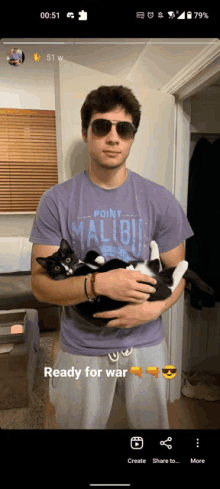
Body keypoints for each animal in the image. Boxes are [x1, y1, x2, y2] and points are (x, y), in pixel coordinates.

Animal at [36, 238, 213, 326]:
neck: (80, 267)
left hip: (149, 269)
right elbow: (109, 264)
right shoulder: (89, 273)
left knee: (157, 264)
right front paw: (122, 265)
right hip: (151, 289)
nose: (67, 270)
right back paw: (182, 264)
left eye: (67, 259)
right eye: (57, 268)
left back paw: (152, 249)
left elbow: (92, 254)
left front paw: (99, 257)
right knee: (168, 287)